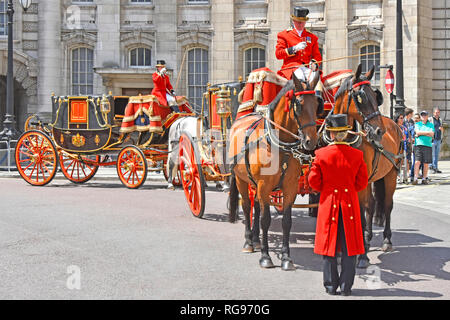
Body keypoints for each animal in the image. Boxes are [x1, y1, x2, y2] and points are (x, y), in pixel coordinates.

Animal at [229, 69, 324, 270]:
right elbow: (266, 220)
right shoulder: (264, 185)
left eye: (316, 104)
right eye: (299, 104)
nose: (311, 141)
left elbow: (286, 221)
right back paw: (249, 242)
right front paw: (266, 257)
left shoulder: (289, 187)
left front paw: (286, 257)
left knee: (256, 206)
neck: (280, 148)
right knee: (247, 206)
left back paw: (256, 240)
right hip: (241, 180)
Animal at [332, 63, 402, 268]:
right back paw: (368, 238)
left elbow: (361, 213)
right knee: (371, 205)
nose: (379, 131)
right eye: (361, 97)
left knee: (386, 205)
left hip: (391, 175)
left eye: (375, 95)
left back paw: (386, 240)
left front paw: (361, 255)